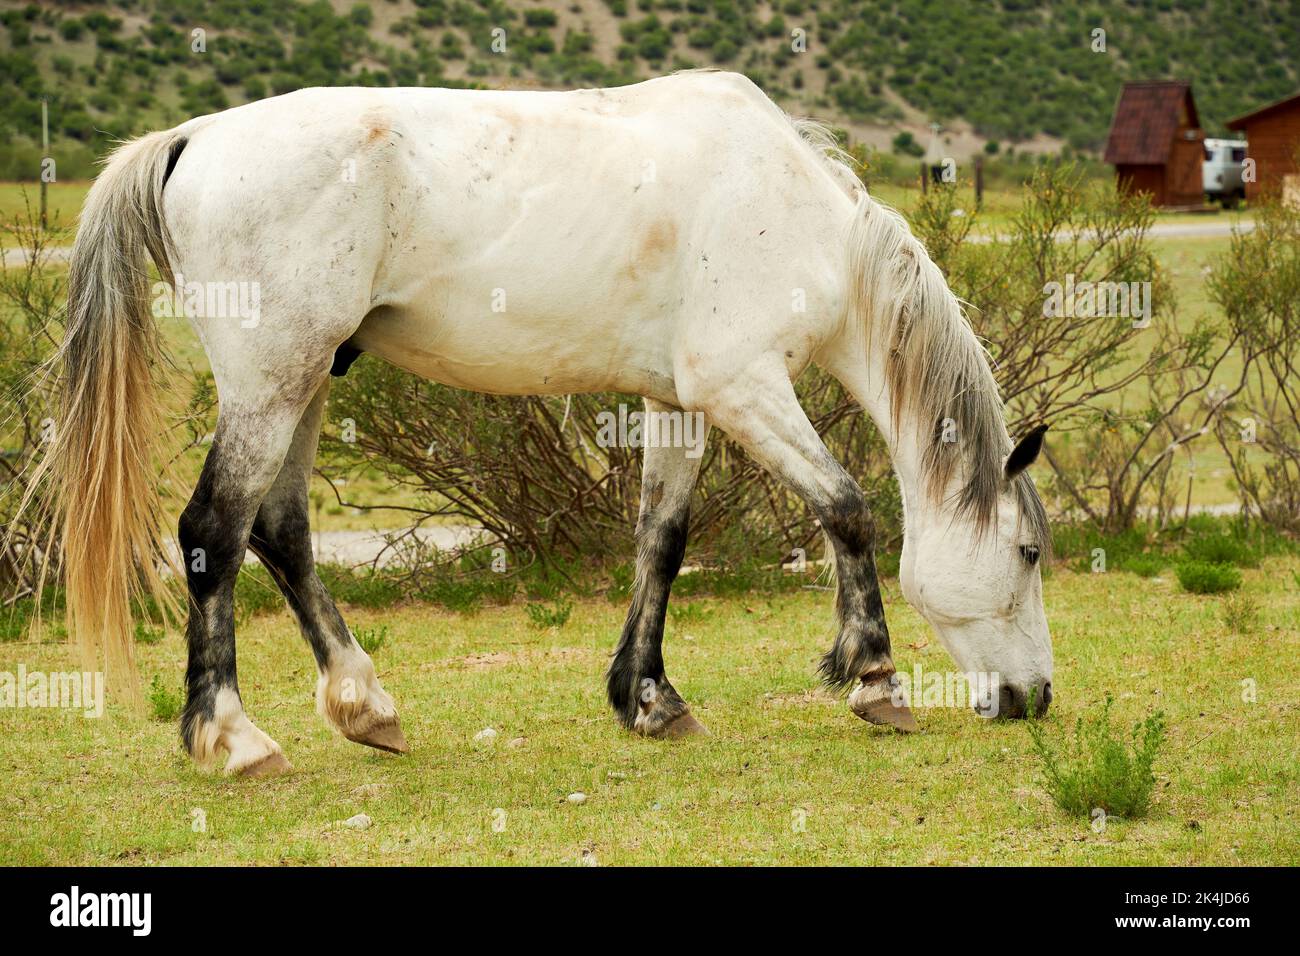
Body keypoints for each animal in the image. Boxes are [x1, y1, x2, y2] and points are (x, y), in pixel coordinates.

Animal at [45, 72, 1050, 780]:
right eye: (1030, 552)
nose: (1034, 698)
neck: (797, 214)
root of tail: (194, 137)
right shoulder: (744, 388)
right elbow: (846, 509)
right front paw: (876, 679)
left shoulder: (679, 404)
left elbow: (661, 541)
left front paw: (650, 700)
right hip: (271, 381)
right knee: (212, 532)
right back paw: (236, 738)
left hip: (303, 381)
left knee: (281, 530)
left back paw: (367, 707)